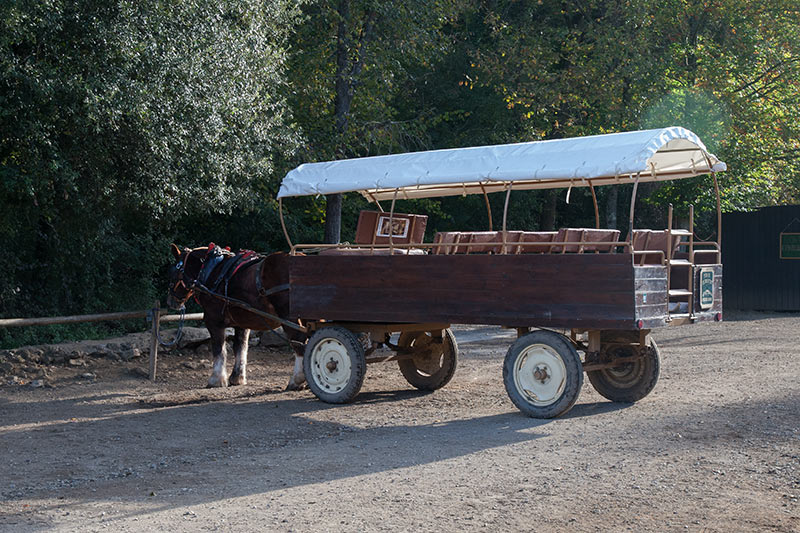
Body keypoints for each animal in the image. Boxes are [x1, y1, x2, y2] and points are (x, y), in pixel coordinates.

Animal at [166, 243, 310, 388]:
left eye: (172, 272)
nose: (171, 301)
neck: (213, 271)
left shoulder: (213, 321)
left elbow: (219, 349)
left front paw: (216, 379)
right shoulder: (242, 323)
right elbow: (240, 348)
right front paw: (237, 377)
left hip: (288, 316)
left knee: (299, 340)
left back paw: (297, 379)